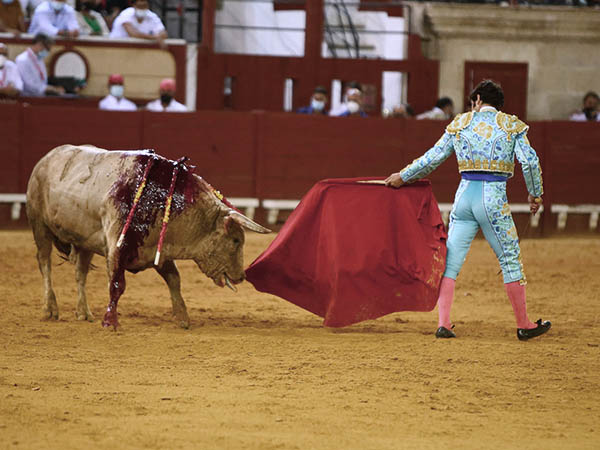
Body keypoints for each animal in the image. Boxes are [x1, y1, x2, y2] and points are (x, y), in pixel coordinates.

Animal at [26, 145, 270, 329]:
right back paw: (50, 308)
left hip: (83, 241)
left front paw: (183, 317)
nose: (241, 276)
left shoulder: (157, 251)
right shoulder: (117, 248)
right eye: (236, 240)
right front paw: (111, 322)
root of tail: (46, 159)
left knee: (80, 273)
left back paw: (83, 312)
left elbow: (174, 279)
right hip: (40, 226)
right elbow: (117, 285)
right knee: (45, 263)